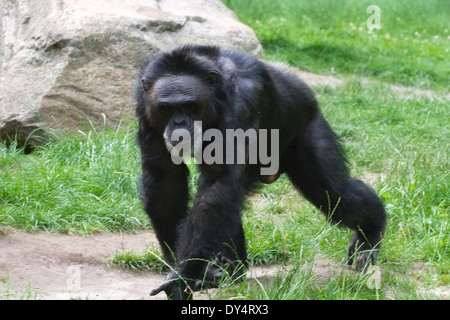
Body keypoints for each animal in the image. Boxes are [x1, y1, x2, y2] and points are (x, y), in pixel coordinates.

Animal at [134, 45, 386, 300]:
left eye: (188, 105)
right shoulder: (144, 105)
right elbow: (164, 178)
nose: (179, 123)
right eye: (167, 108)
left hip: (309, 129)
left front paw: (182, 275)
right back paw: (226, 271)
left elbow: (217, 182)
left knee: (333, 193)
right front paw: (180, 271)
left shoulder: (243, 99)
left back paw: (370, 234)